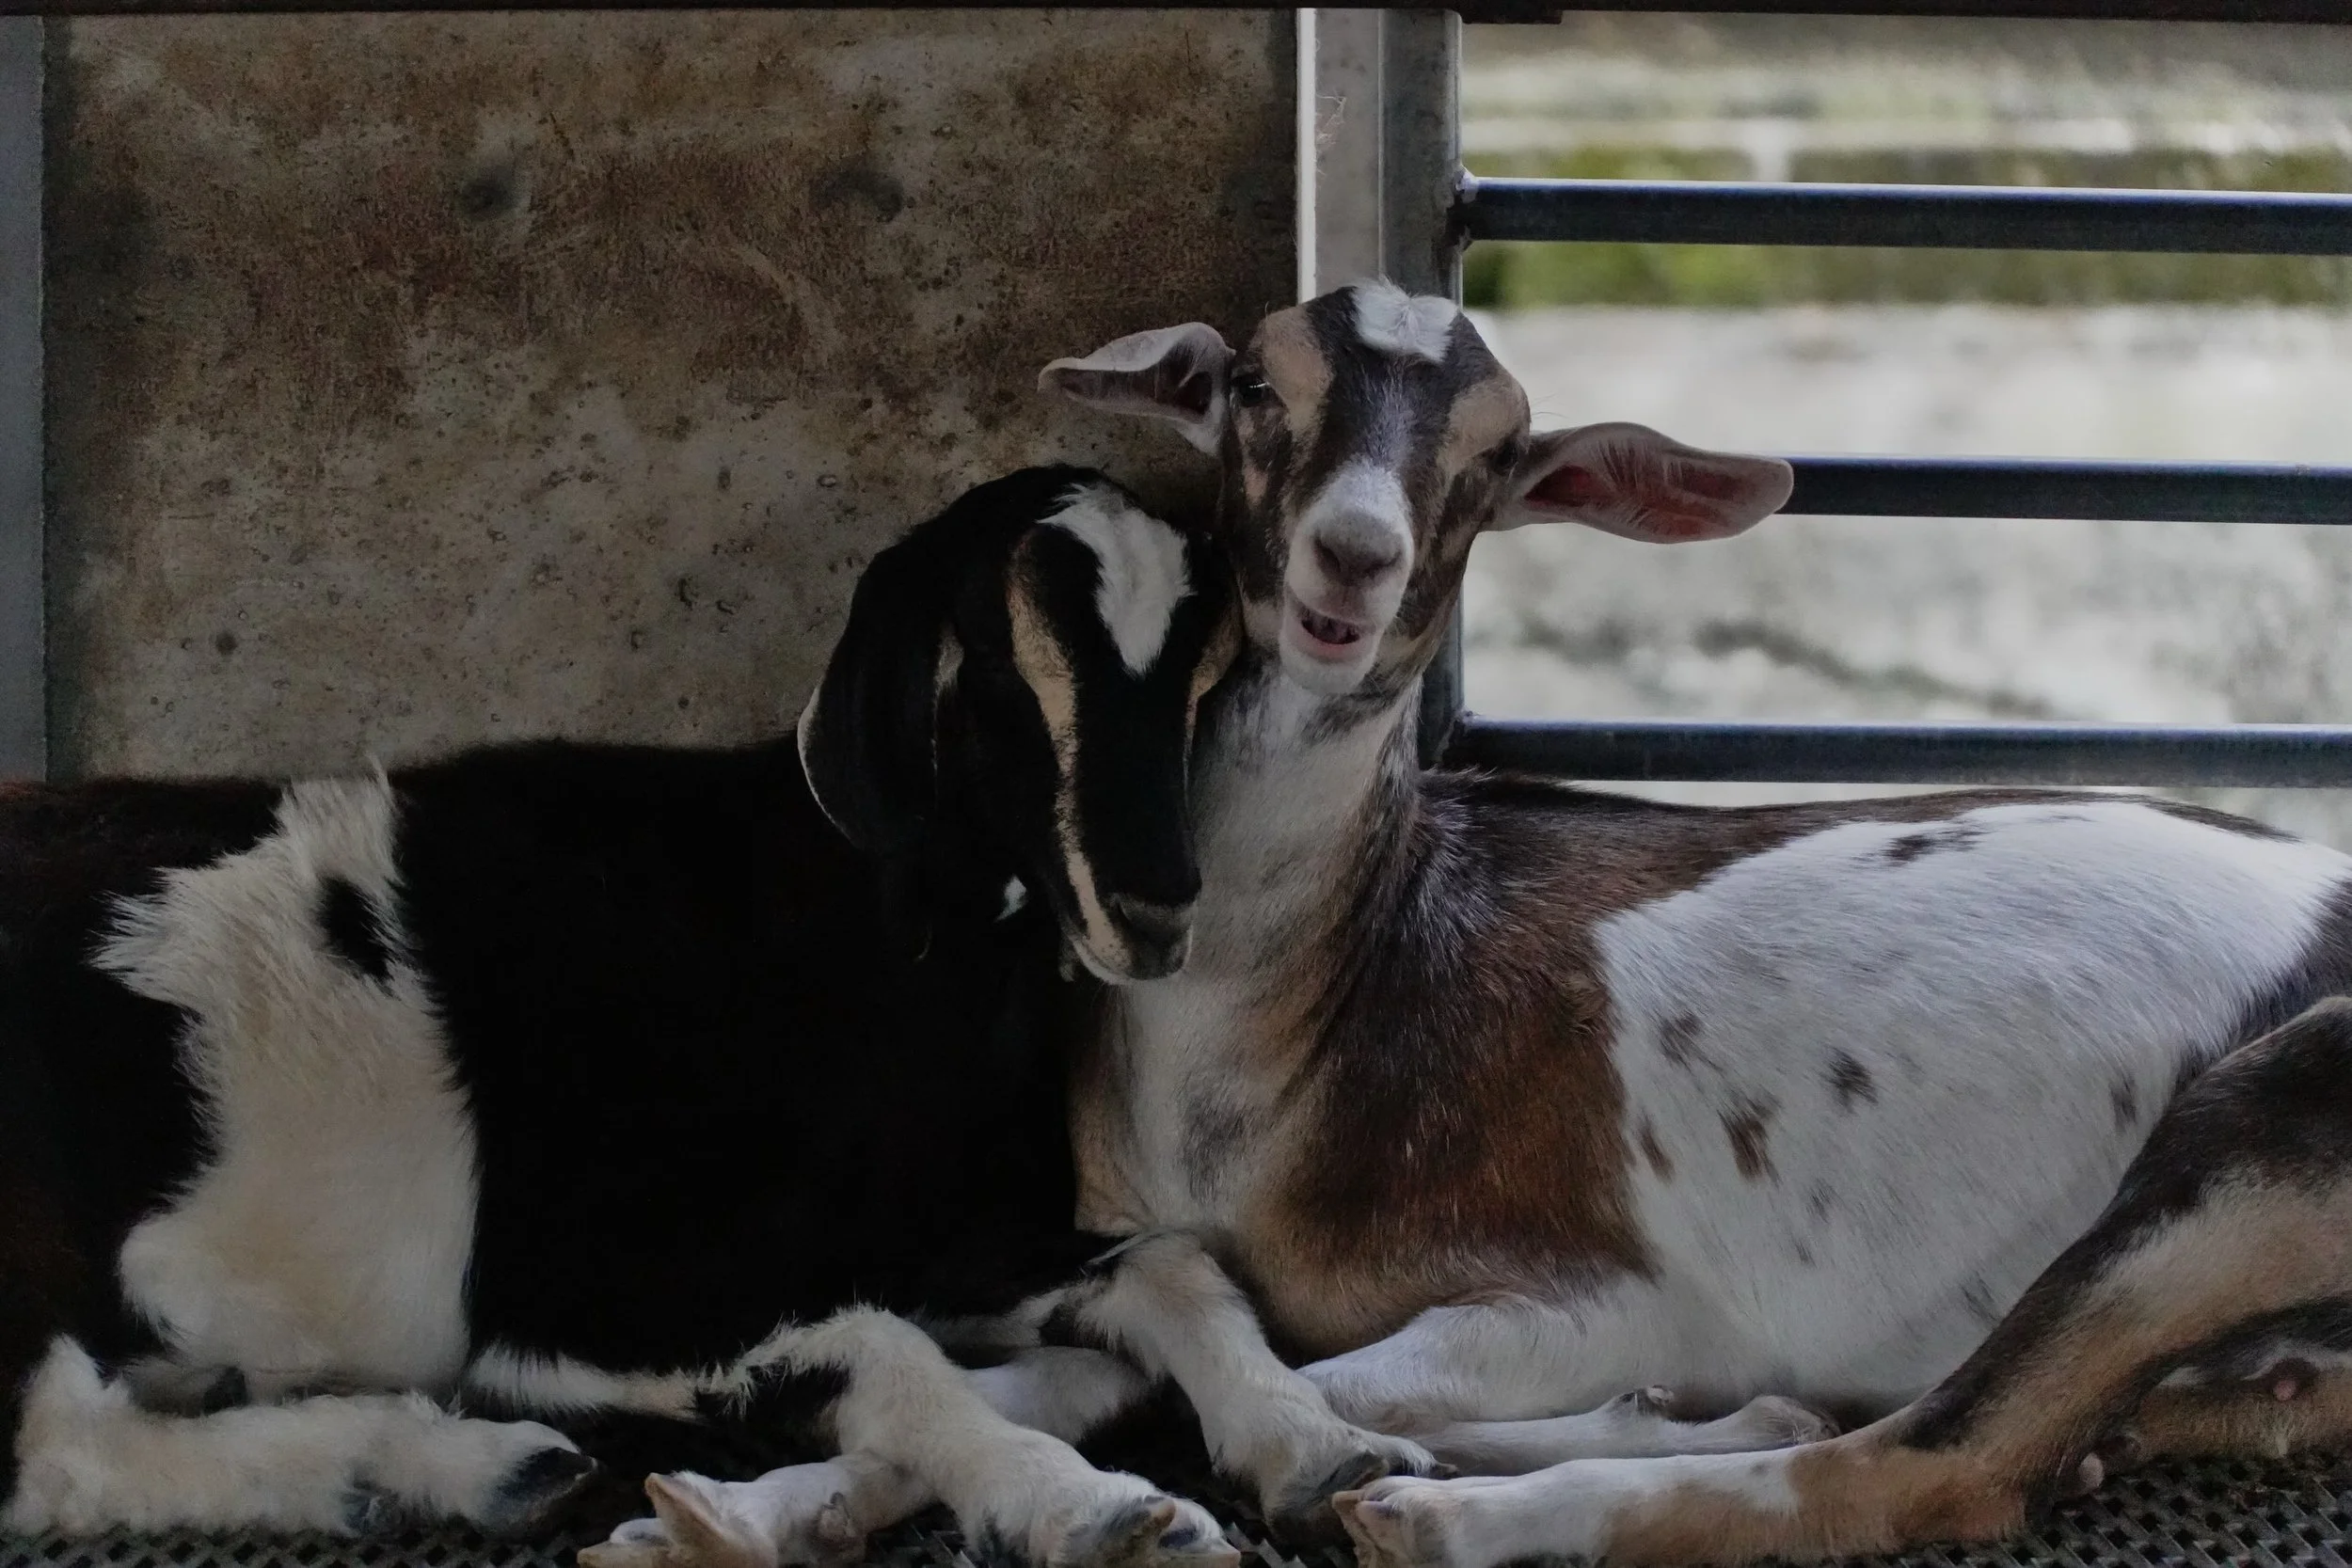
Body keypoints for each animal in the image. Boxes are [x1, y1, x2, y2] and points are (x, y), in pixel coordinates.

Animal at [0, 465, 1311, 1568]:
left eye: (1203, 674)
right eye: (993, 658)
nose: (1155, 902)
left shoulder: (932, 1233)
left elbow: (1166, 1264)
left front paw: (1305, 1441)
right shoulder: (587, 1287)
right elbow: (888, 1351)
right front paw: (1086, 1506)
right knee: (55, 1444)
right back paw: (453, 1461)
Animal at [1028, 281, 2352, 1568]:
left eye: (1496, 452)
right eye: (1256, 385)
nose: (1352, 557)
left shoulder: (1610, 1289)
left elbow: (1330, 1373)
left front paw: (1315, 1459)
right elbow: (1146, 1290)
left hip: (2250, 1135)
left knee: (1941, 1458)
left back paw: (1454, 1515)